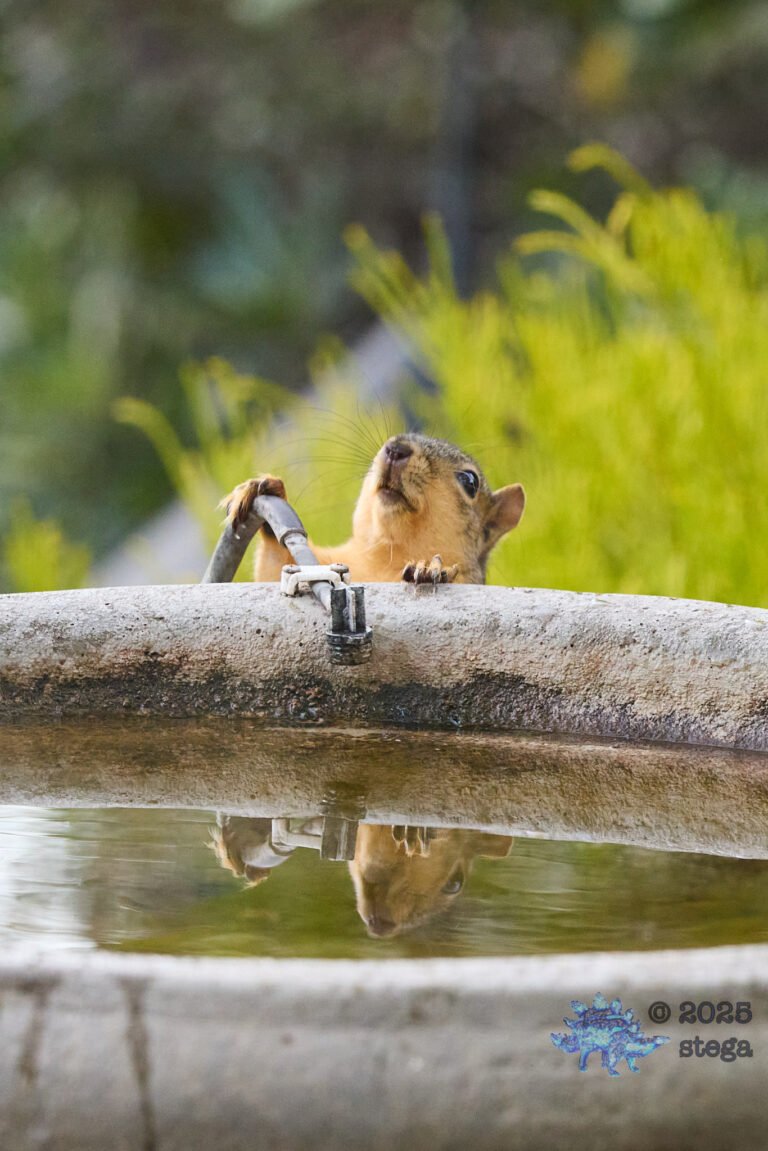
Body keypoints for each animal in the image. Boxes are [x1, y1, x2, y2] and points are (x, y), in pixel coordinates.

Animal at [224, 433, 524, 585]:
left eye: (470, 481)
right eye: (390, 441)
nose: (395, 448)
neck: (387, 555)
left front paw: (429, 567)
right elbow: (275, 570)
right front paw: (264, 487)